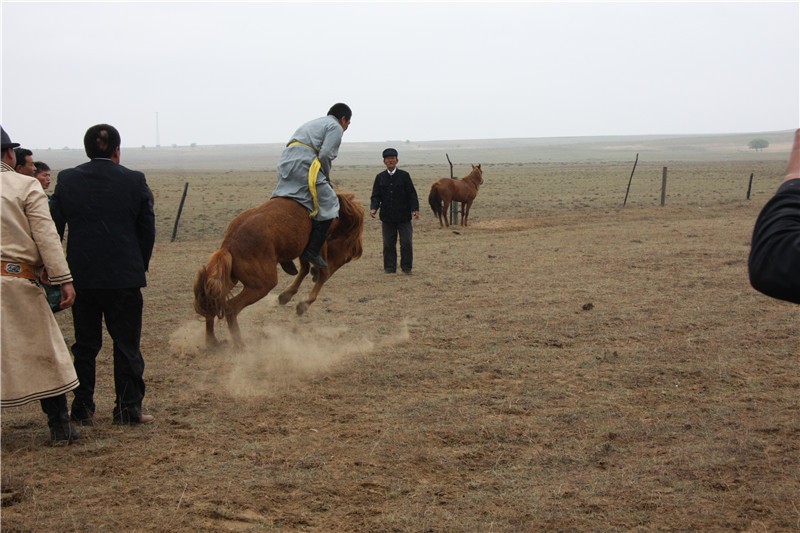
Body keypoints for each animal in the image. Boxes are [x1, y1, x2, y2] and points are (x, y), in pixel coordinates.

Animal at [193, 192, 364, 349]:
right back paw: (240, 345)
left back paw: (212, 342)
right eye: (347, 256)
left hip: (230, 278)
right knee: (231, 308)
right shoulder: (318, 244)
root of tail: (229, 244)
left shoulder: (303, 246)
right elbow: (322, 272)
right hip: (262, 285)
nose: (347, 259)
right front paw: (303, 304)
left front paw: (287, 295)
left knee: (212, 299)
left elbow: (304, 268)